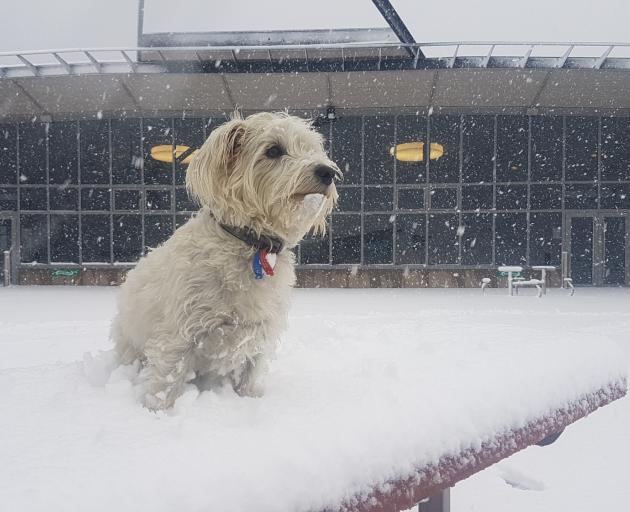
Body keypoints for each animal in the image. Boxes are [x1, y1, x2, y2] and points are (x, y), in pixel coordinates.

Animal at [113, 114, 340, 410]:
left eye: (312, 148)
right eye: (273, 151)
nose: (328, 172)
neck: (251, 244)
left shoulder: (258, 336)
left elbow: (249, 380)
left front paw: (250, 404)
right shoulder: (178, 335)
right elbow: (166, 385)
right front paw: (158, 413)